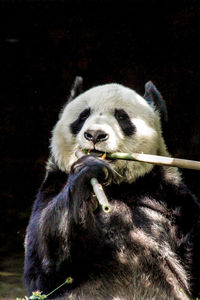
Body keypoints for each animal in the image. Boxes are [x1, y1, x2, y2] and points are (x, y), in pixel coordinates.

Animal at [24, 78, 200, 300]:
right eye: (83, 115)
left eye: (121, 116)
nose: (95, 135)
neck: (116, 186)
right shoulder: (53, 184)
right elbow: (44, 261)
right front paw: (87, 170)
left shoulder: (170, 200)